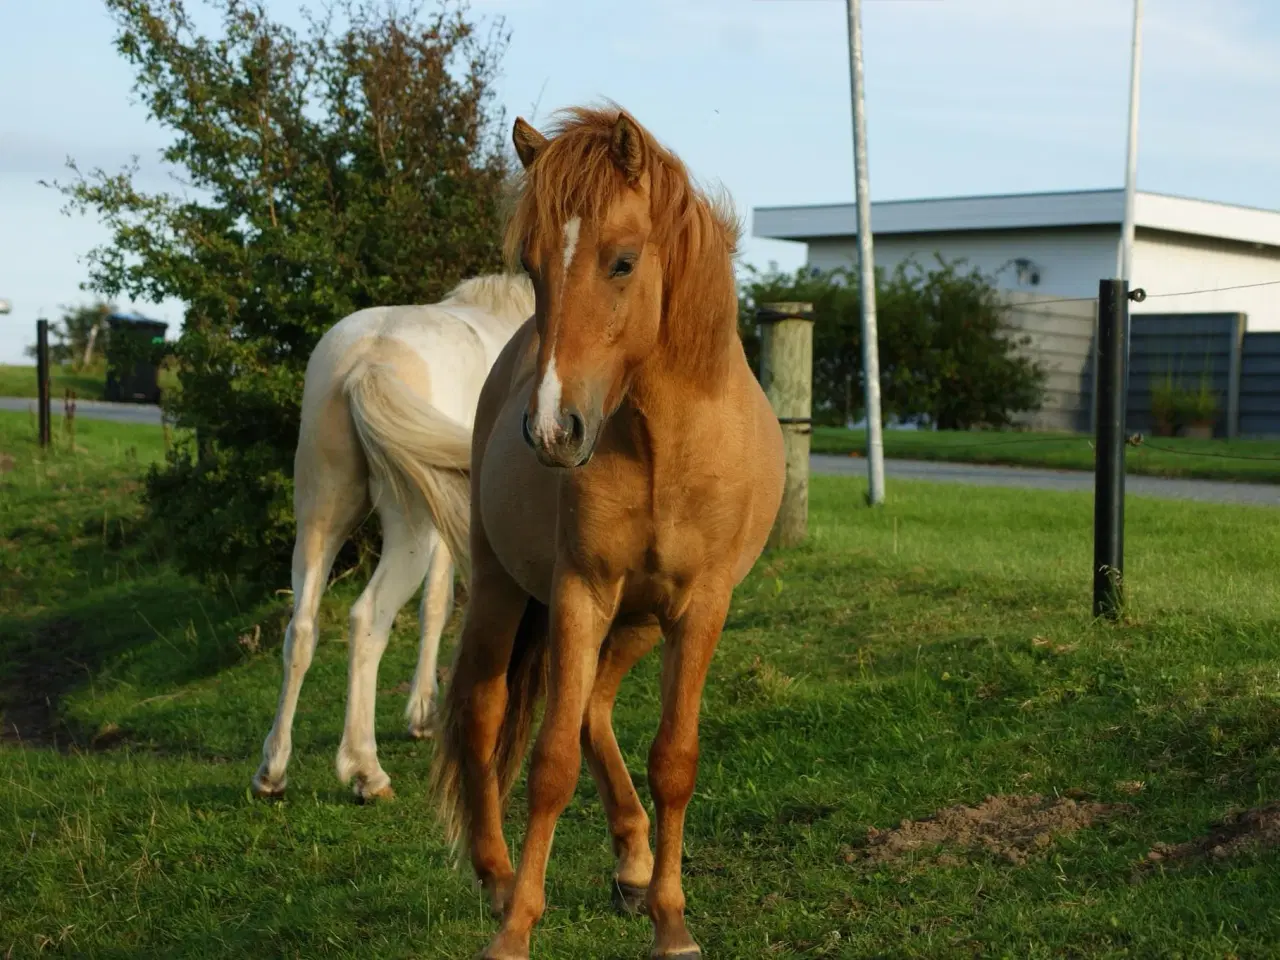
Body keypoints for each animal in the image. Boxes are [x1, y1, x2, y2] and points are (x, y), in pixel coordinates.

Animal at [252, 272, 532, 803]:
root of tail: (369, 359)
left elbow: (436, 605)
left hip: (320, 518)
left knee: (301, 628)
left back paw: (272, 772)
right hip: (409, 535)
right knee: (368, 618)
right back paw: (367, 771)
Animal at [430, 106, 783, 960]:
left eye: (622, 262)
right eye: (532, 266)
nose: (555, 429)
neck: (664, 444)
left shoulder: (700, 608)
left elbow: (674, 759)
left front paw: (671, 921)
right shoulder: (579, 594)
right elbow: (551, 761)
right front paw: (517, 928)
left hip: (638, 621)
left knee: (596, 710)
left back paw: (632, 863)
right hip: (504, 590)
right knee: (486, 713)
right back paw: (497, 878)